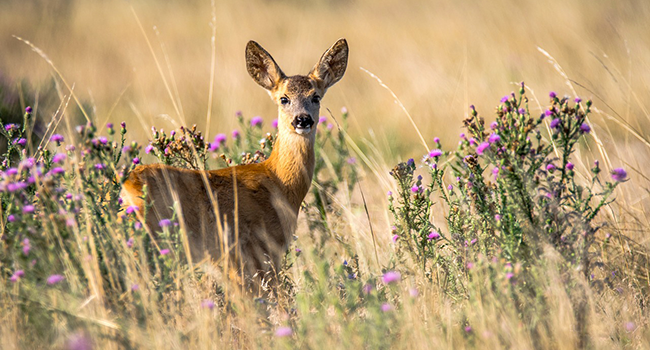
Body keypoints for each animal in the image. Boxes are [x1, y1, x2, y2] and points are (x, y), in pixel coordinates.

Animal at [119, 38, 346, 292]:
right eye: (284, 98)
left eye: (316, 97)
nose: (303, 120)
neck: (279, 183)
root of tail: (126, 187)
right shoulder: (257, 249)